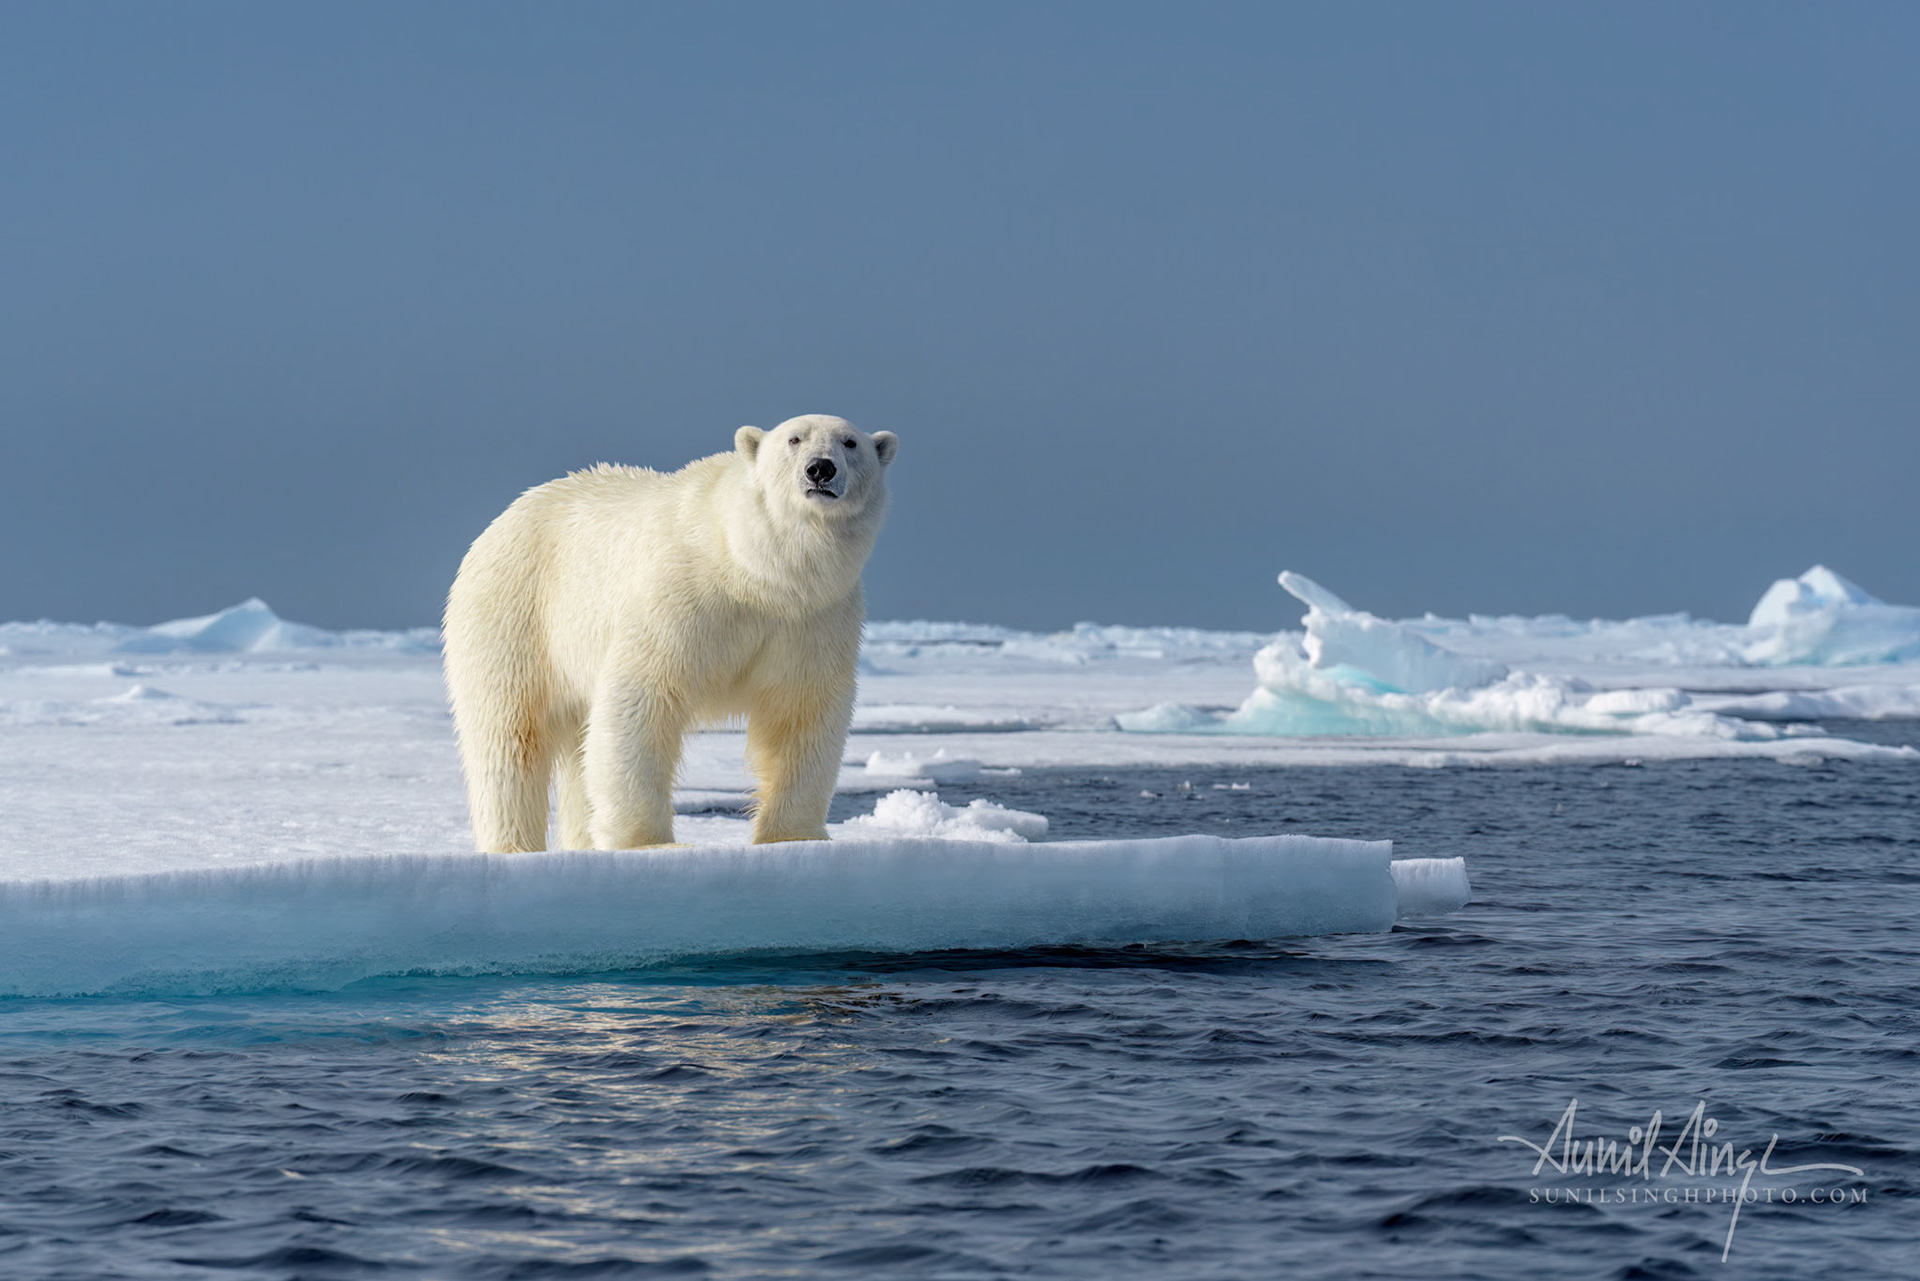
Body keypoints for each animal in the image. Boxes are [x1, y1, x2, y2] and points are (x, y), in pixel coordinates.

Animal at [443, 414, 898, 852]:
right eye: (794, 439)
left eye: (850, 442)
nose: (820, 468)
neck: (754, 571)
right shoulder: (681, 595)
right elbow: (642, 696)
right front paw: (649, 842)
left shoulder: (813, 619)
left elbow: (801, 711)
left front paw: (794, 837)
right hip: (516, 612)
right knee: (509, 736)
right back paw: (512, 846)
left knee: (575, 745)